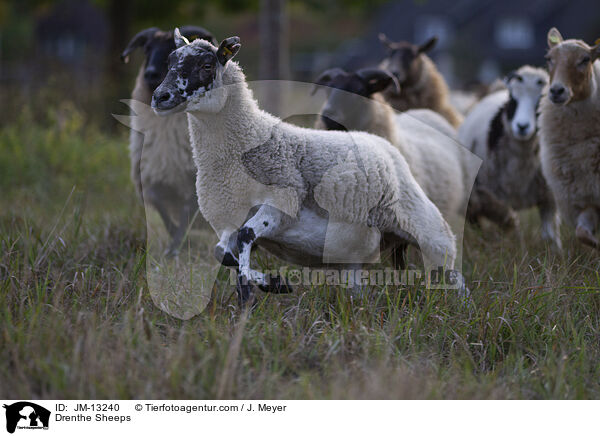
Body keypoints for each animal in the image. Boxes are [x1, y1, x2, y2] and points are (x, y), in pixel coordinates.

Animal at [119, 26, 216, 255]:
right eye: (146, 49)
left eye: (173, 48)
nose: (150, 73)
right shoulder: (150, 177)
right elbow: (161, 208)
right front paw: (174, 240)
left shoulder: (192, 180)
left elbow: (187, 213)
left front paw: (175, 248)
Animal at [150, 30, 464, 304]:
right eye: (169, 62)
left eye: (206, 65)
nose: (159, 97)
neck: (247, 141)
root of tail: (383, 144)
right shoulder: (226, 219)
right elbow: (223, 253)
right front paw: (270, 284)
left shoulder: (282, 202)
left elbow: (246, 236)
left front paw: (259, 289)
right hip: (355, 252)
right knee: (358, 291)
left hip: (427, 227)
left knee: (452, 270)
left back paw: (459, 307)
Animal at [460, 64, 564, 249]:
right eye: (513, 100)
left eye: (540, 101)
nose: (522, 126)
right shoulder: (492, 197)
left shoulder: (549, 197)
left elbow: (550, 236)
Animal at [540, 29, 600, 250]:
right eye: (549, 59)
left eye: (585, 59)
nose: (557, 91)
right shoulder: (584, 199)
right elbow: (582, 233)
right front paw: (595, 244)